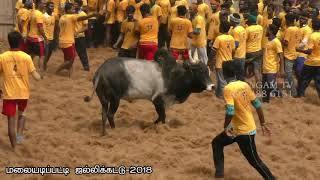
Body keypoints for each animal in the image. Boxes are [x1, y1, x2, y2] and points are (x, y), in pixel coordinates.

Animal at [85, 49, 215, 135]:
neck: (173, 75)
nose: (212, 86)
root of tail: (101, 71)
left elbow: (160, 118)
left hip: (104, 99)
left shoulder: (165, 103)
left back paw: (105, 133)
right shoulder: (157, 100)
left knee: (103, 115)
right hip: (115, 99)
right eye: (198, 71)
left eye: (207, 70)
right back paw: (114, 130)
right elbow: (162, 117)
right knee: (110, 115)